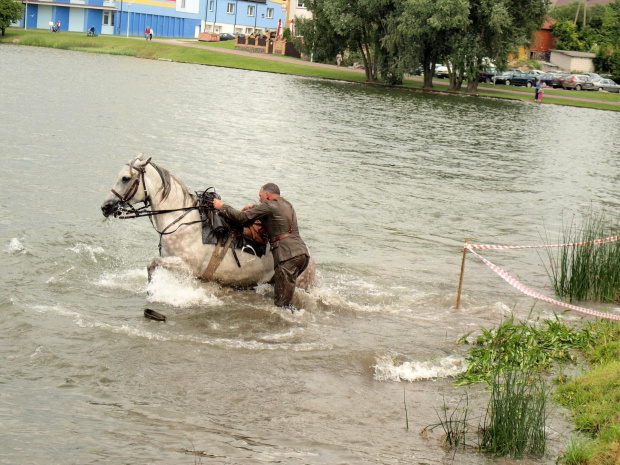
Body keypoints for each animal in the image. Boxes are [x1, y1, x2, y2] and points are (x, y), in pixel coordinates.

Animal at [102, 156, 318, 290]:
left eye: (125, 178)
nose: (106, 207)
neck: (182, 223)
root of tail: (309, 258)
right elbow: (151, 266)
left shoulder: (186, 266)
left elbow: (152, 264)